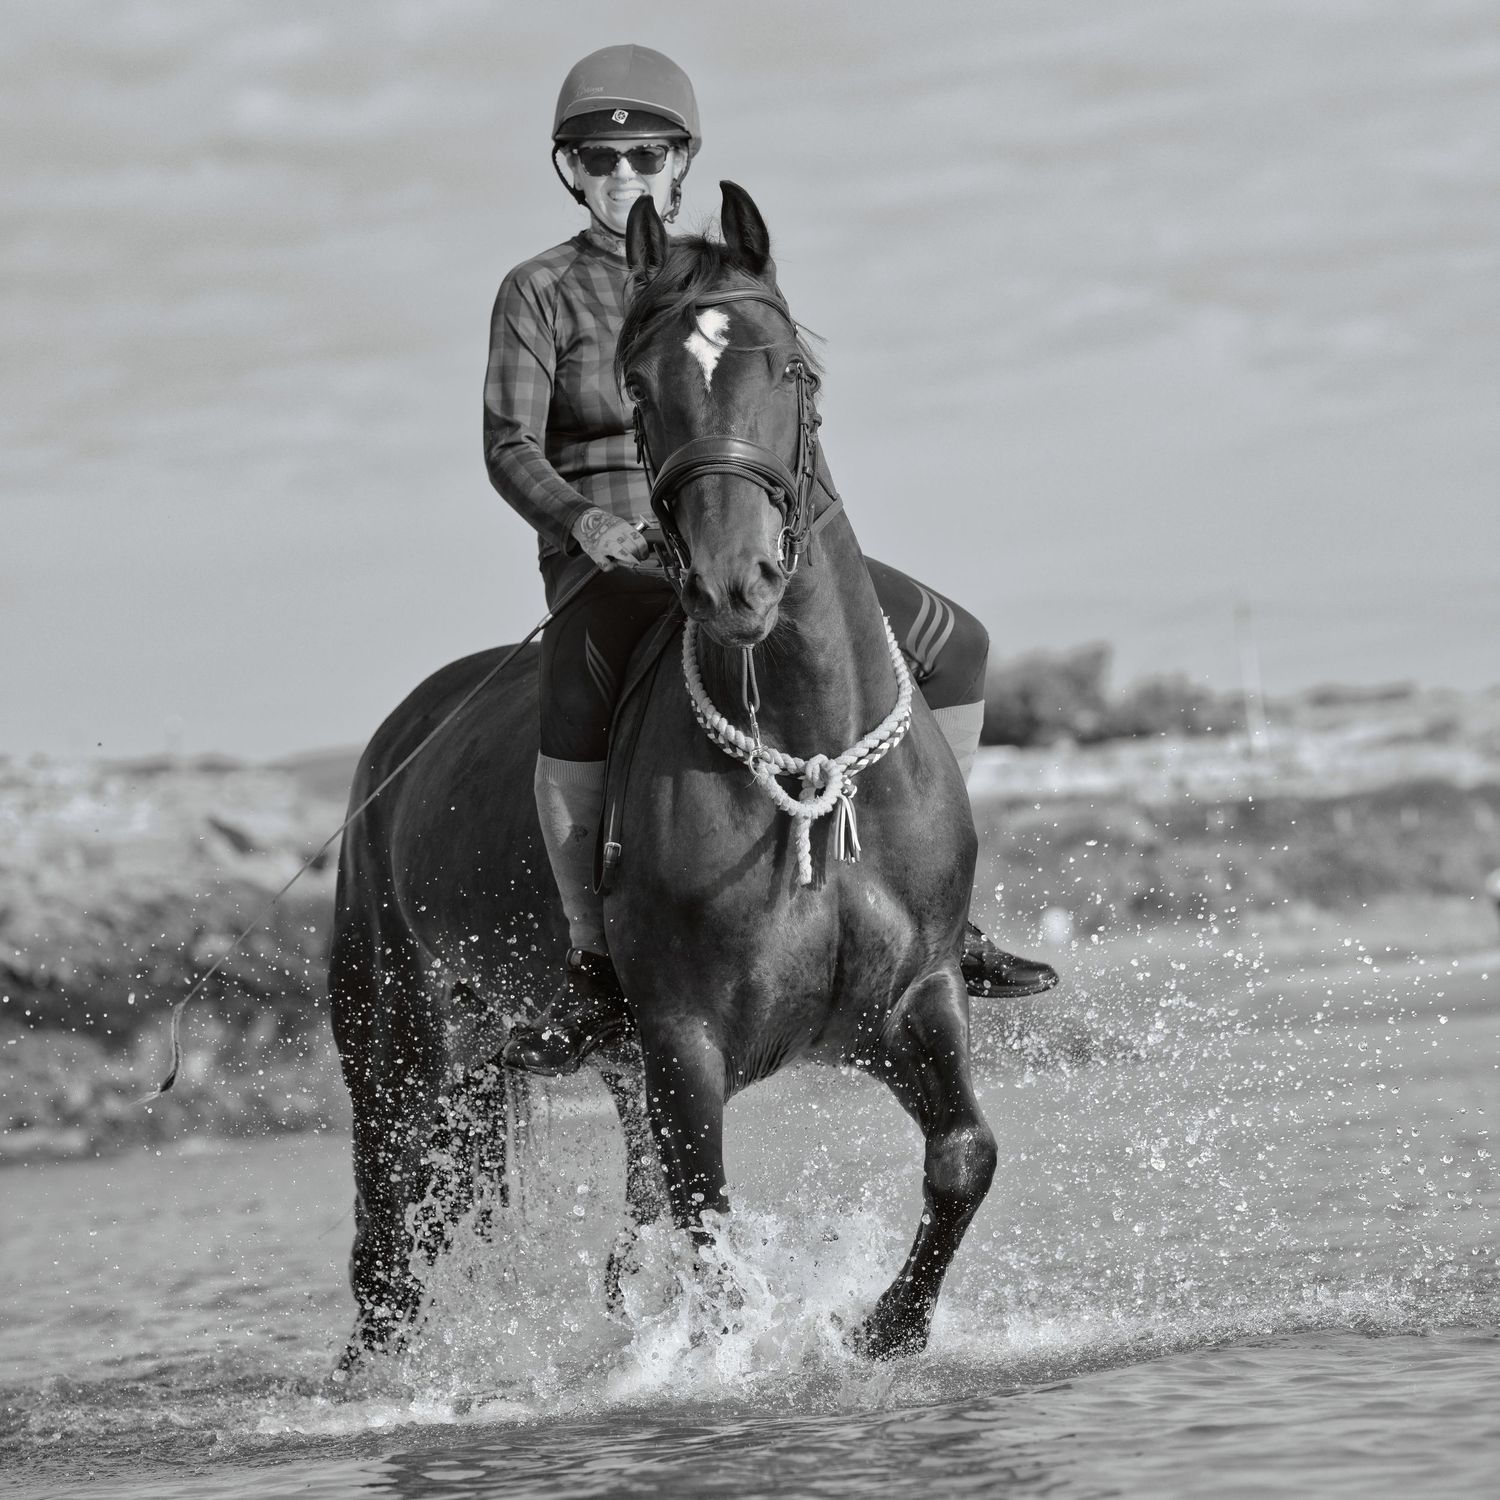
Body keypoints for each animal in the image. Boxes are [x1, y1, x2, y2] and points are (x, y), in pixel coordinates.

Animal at [327, 181, 996, 1369]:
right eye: (640, 387)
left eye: (793, 370)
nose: (739, 586)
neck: (807, 759)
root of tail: (387, 760)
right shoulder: (685, 1043)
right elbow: (710, 1233)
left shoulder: (915, 999)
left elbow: (963, 1156)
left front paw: (885, 1333)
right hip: (403, 1064)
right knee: (388, 1258)